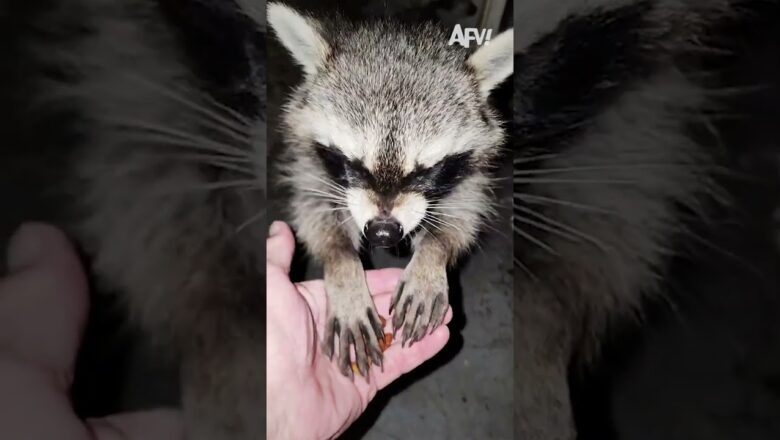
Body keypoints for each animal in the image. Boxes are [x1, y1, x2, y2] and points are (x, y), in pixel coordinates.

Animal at [267, 2, 514, 376]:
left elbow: (464, 211)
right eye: (354, 165)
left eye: (426, 171)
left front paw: (432, 256)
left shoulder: (472, 170)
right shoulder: (311, 163)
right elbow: (315, 209)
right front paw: (343, 269)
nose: (383, 233)